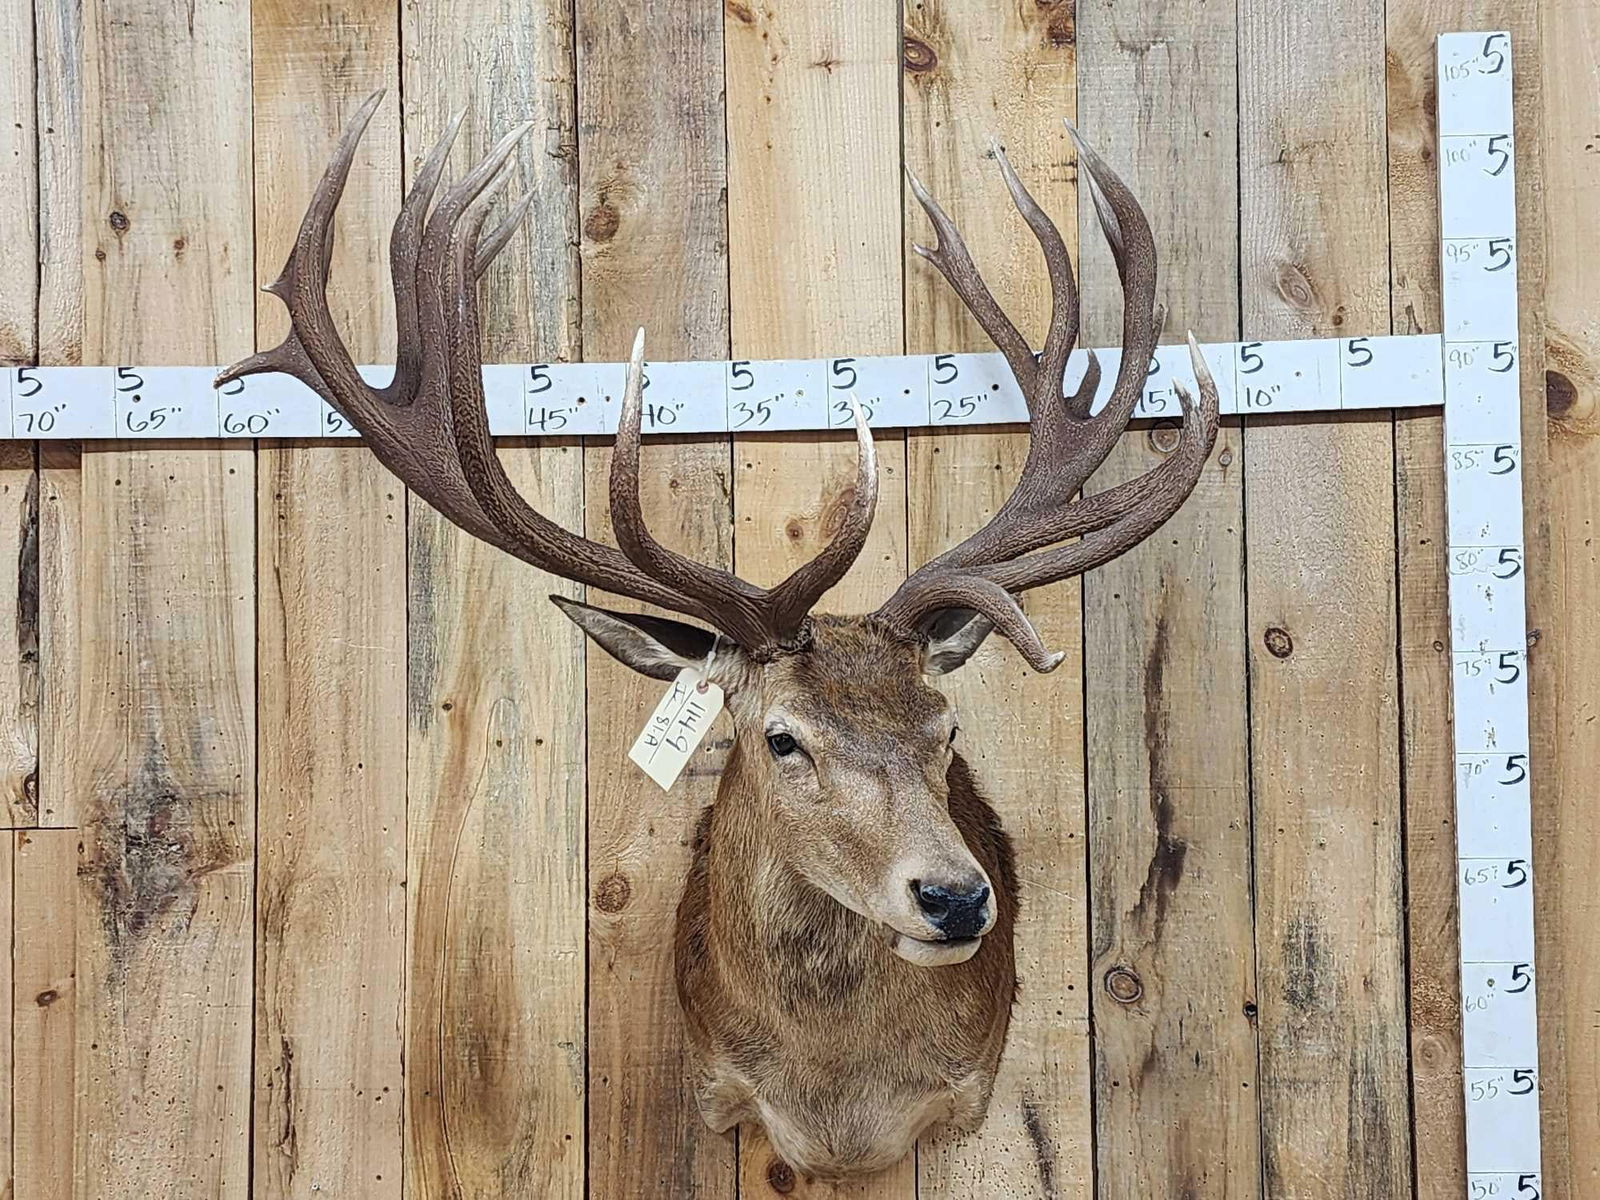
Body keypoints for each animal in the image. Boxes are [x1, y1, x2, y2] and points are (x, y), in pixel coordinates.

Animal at [219, 92, 1218, 1183]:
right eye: (781, 738)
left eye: (946, 730)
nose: (957, 899)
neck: (835, 1110)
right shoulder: (713, 1088)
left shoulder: (964, 1096)